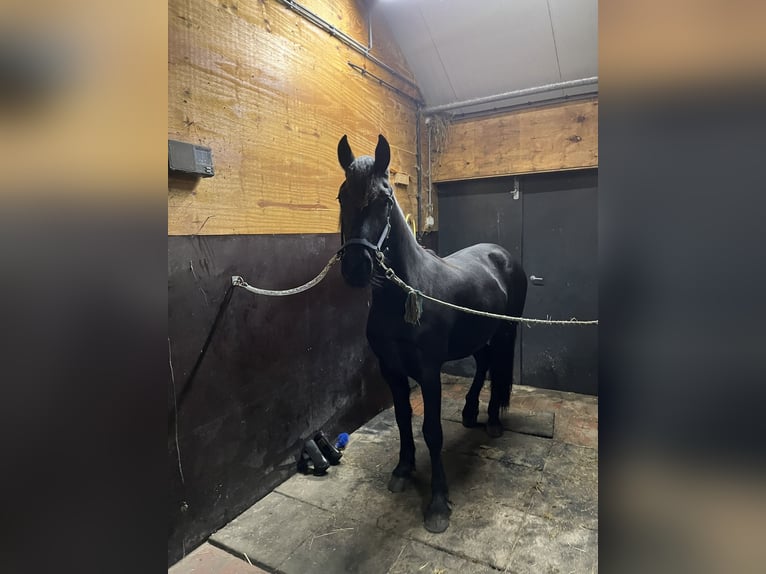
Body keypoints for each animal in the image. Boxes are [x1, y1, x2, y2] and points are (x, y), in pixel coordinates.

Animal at [338, 133, 528, 532]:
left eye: (384, 200)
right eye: (341, 196)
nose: (357, 267)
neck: (406, 294)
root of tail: (501, 254)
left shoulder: (428, 373)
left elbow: (432, 431)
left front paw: (438, 502)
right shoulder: (391, 370)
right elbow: (402, 419)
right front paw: (403, 469)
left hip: (505, 333)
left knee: (498, 370)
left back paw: (493, 421)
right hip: (479, 334)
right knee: (484, 365)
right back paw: (471, 413)